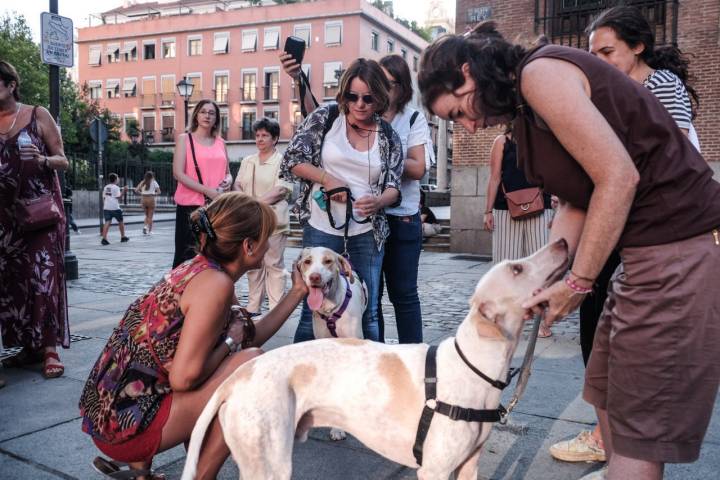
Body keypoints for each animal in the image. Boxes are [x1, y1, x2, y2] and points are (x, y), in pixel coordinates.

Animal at [180, 238, 568, 478]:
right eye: (517, 269)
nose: (563, 242)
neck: (473, 365)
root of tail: (239, 373)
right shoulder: (435, 470)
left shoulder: (469, 467)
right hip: (269, 464)